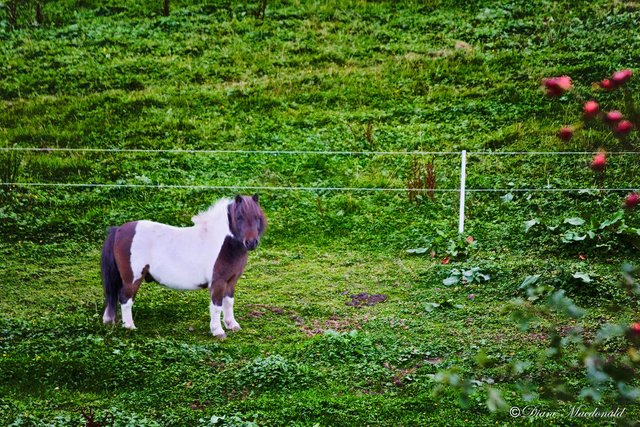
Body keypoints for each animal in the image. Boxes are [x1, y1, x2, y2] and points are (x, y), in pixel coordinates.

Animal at [101, 196, 266, 340]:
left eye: (257, 217)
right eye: (239, 217)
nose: (251, 242)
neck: (223, 244)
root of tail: (118, 230)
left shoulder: (231, 282)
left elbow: (229, 303)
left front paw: (232, 325)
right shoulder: (218, 282)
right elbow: (216, 306)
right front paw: (218, 331)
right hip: (132, 278)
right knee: (125, 300)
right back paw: (129, 327)